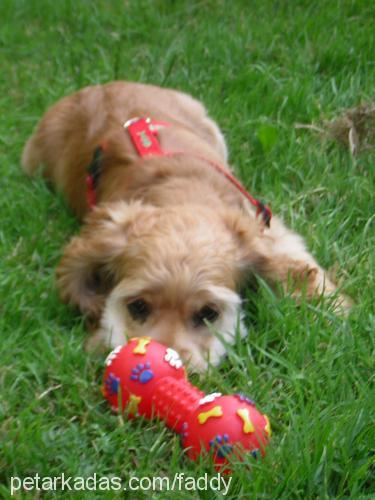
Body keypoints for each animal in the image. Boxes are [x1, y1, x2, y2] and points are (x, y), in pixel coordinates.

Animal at [21, 81, 352, 372]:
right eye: (138, 306)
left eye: (208, 313)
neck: (183, 195)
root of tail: (101, 86)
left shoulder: (267, 228)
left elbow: (304, 272)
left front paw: (337, 315)